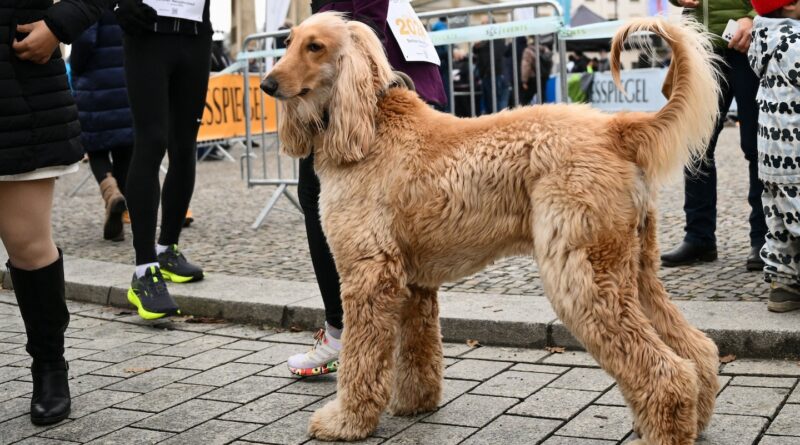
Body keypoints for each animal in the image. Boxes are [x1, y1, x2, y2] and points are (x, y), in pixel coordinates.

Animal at [266, 11, 720, 444]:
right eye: (287, 42)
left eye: (315, 46)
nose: (267, 85)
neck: (369, 128)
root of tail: (616, 129)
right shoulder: (412, 283)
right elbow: (415, 350)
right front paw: (414, 404)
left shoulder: (369, 274)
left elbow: (360, 358)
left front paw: (346, 422)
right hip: (632, 265)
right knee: (696, 349)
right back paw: (691, 420)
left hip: (584, 272)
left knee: (668, 369)